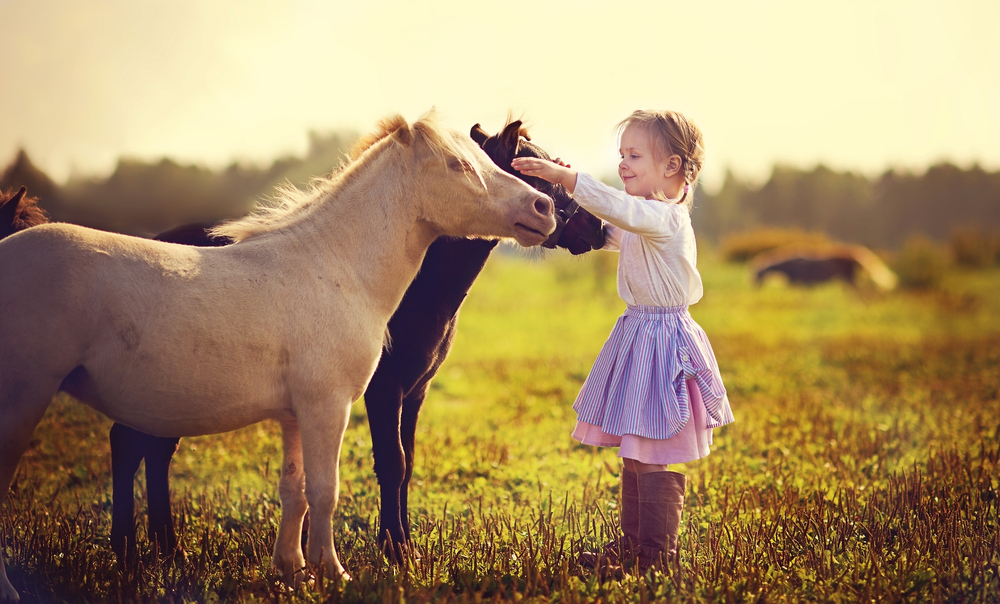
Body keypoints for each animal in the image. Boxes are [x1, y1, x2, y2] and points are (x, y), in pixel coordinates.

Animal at [0, 113, 556, 600]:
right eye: (458, 164)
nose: (543, 207)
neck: (335, 266)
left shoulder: (296, 415)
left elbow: (295, 491)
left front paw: (293, 572)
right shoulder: (329, 407)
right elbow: (327, 489)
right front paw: (334, 574)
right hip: (25, 399)